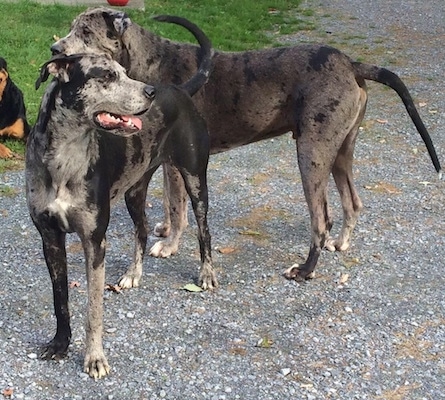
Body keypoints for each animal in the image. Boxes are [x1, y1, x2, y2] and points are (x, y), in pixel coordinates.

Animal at [24, 16, 215, 378]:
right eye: (107, 76)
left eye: (124, 72)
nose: (150, 92)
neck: (64, 158)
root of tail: (180, 90)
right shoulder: (50, 239)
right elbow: (60, 301)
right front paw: (60, 344)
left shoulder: (94, 241)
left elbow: (94, 308)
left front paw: (94, 358)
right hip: (134, 191)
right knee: (142, 229)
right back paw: (132, 274)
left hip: (195, 179)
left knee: (203, 230)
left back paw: (207, 274)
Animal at [51, 6, 440, 282]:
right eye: (72, 27)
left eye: (85, 32)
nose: (54, 49)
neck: (144, 59)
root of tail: (350, 63)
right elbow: (168, 206)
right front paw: (163, 229)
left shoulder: (175, 163)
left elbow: (177, 207)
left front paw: (170, 244)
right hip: (341, 152)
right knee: (353, 202)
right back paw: (341, 243)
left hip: (311, 155)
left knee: (321, 219)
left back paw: (305, 270)